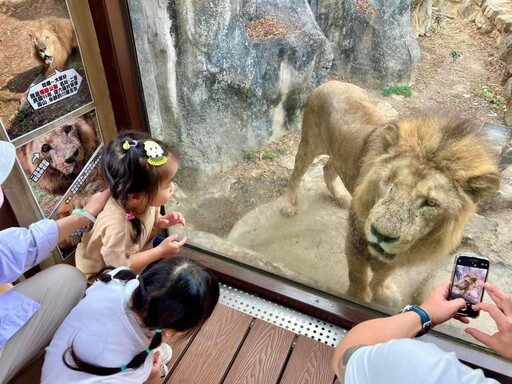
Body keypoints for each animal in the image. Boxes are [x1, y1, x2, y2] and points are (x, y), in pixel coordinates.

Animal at [280, 82, 500, 308]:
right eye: (389, 183)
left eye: (430, 202)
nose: (380, 234)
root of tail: (331, 82)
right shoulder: (357, 236)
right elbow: (358, 276)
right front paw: (357, 297)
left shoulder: (400, 249)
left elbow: (383, 274)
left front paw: (382, 293)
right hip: (311, 142)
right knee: (296, 174)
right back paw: (289, 205)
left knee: (328, 168)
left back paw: (341, 197)